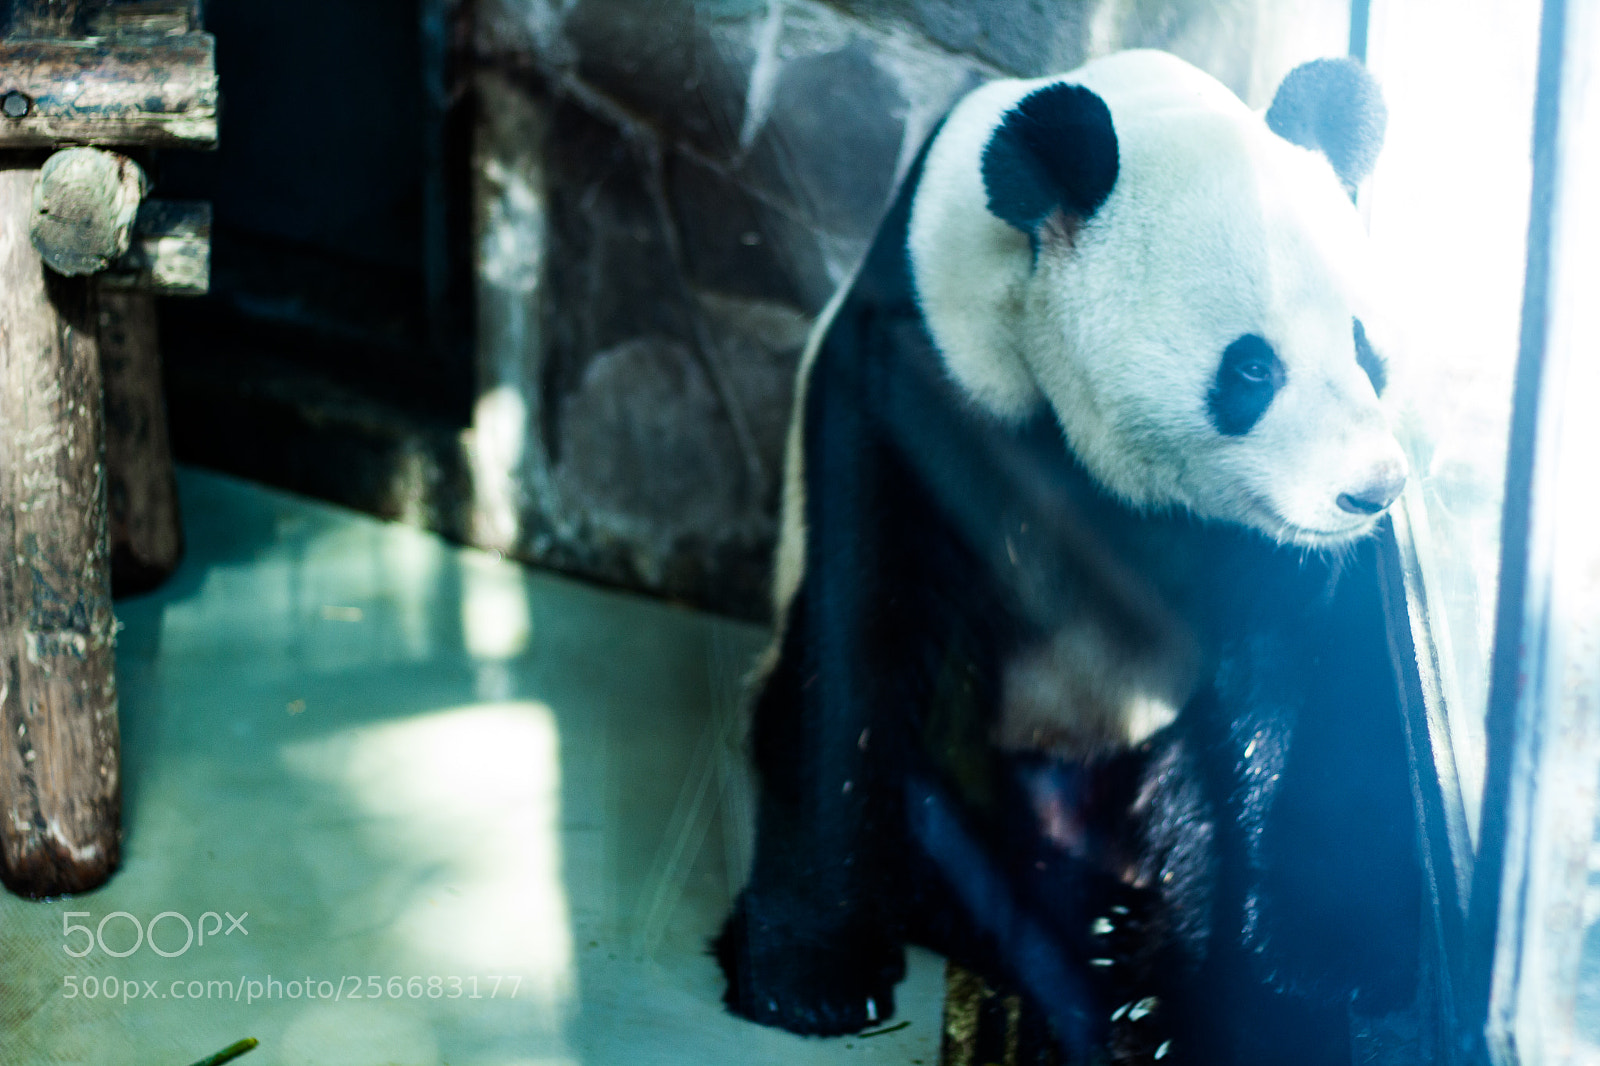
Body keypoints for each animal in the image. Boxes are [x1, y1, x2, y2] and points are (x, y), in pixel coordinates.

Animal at [716, 50, 1422, 1065]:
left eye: (1367, 350)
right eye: (1252, 369)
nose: (1371, 490)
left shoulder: (1267, 544)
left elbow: (1295, 687)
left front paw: (1301, 976)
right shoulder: (919, 359)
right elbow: (863, 625)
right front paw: (810, 973)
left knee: (1190, 801)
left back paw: (1145, 976)